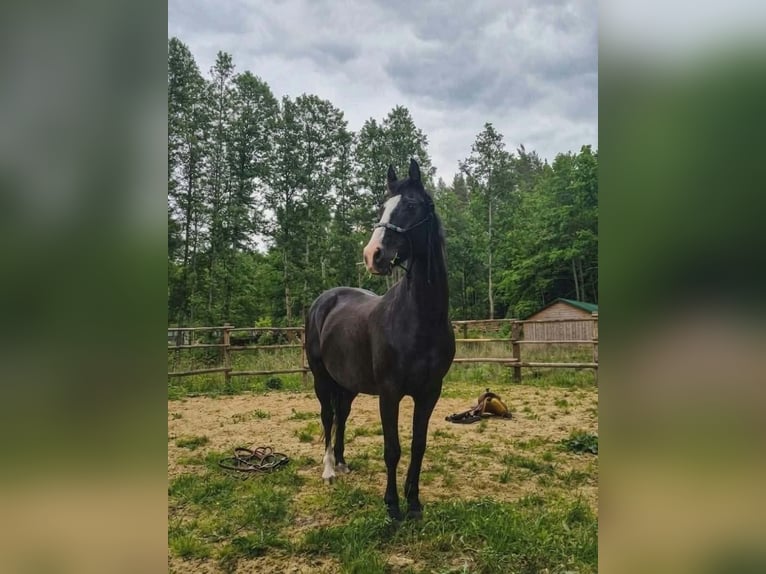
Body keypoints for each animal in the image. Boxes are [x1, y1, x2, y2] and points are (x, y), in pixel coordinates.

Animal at [306, 158, 456, 520]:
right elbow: (392, 449)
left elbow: (418, 445)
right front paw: (392, 505)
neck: (420, 320)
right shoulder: (389, 393)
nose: (372, 254)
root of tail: (324, 301)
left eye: (412, 206)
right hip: (321, 378)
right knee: (328, 417)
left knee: (342, 415)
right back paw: (329, 470)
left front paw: (414, 503)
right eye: (381, 207)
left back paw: (342, 463)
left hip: (347, 383)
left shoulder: (430, 393)